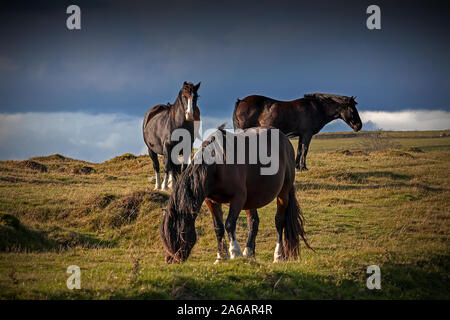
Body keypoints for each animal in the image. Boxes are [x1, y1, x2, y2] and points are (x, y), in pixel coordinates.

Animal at [160, 126, 312, 264]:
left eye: (179, 234)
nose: (170, 260)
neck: (217, 165)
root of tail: (285, 140)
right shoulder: (211, 201)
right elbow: (218, 227)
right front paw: (221, 256)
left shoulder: (238, 199)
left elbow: (229, 224)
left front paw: (234, 252)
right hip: (252, 200)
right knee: (254, 222)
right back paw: (249, 253)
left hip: (283, 193)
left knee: (279, 221)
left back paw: (279, 255)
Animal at [234, 92, 364, 171]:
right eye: (352, 109)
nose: (359, 126)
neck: (317, 109)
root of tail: (241, 101)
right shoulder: (307, 135)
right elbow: (305, 150)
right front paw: (303, 167)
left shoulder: (301, 135)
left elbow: (299, 150)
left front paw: (297, 167)